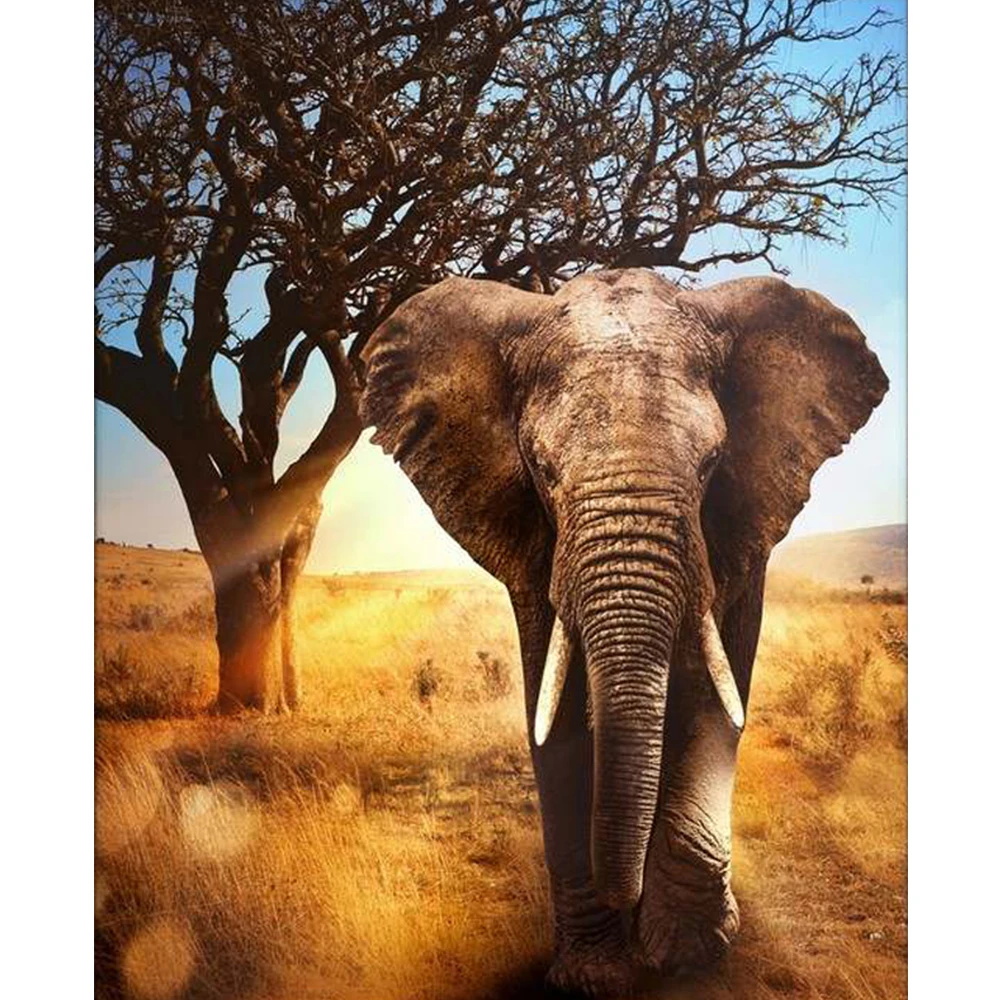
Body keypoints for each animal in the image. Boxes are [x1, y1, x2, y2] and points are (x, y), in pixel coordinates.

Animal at [359, 268, 888, 995]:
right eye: (542, 468)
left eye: (712, 463)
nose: (624, 896)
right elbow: (555, 713)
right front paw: (593, 976)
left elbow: (713, 696)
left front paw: (688, 954)